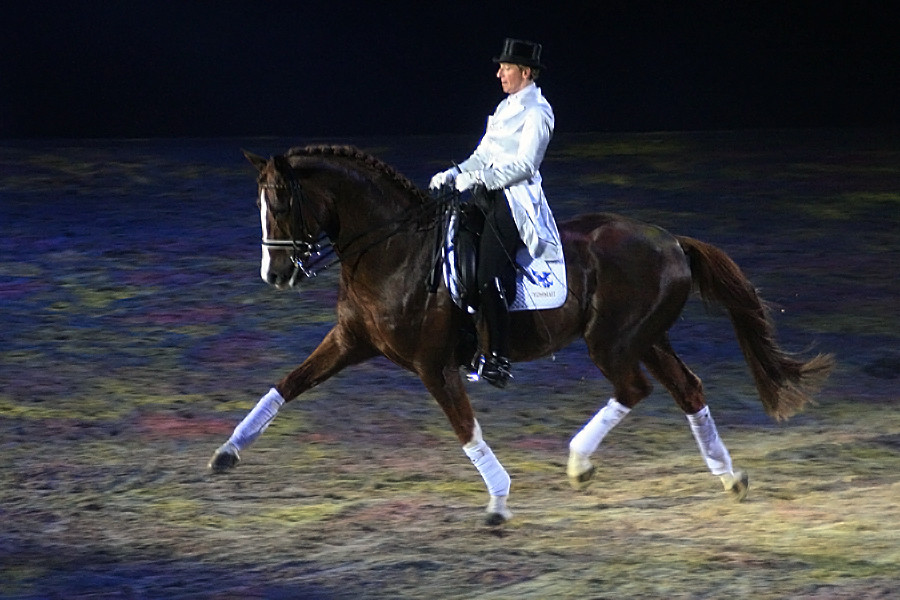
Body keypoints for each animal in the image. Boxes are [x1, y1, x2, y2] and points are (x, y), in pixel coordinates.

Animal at [207, 145, 832, 524]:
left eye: (281, 200)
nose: (275, 274)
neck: (394, 249)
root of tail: (673, 240)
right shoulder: (349, 342)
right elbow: (288, 384)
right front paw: (226, 453)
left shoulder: (433, 366)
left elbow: (465, 429)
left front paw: (499, 502)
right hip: (648, 338)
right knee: (688, 389)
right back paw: (729, 477)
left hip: (614, 341)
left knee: (636, 390)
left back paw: (580, 463)